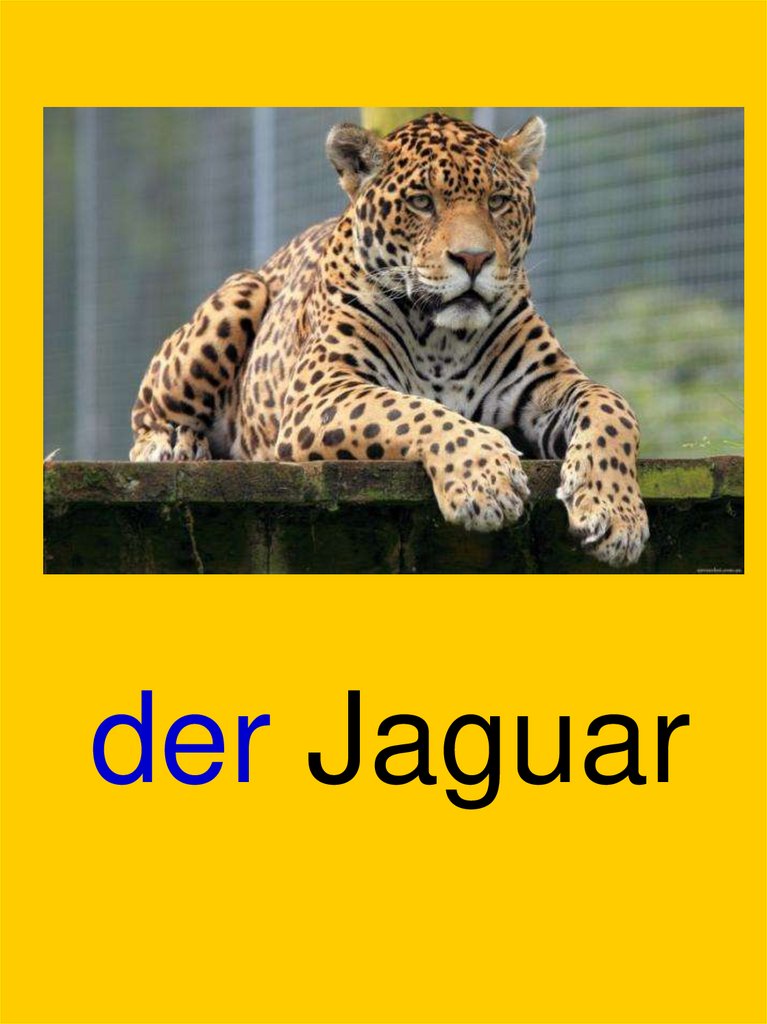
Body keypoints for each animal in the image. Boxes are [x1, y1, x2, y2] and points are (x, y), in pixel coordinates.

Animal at [130, 112, 649, 566]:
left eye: (498, 201)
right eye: (422, 202)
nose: (474, 258)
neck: (444, 339)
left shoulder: (548, 384)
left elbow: (612, 406)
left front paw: (616, 514)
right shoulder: (321, 390)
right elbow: (412, 410)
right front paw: (485, 480)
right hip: (242, 292)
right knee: (146, 418)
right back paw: (173, 444)